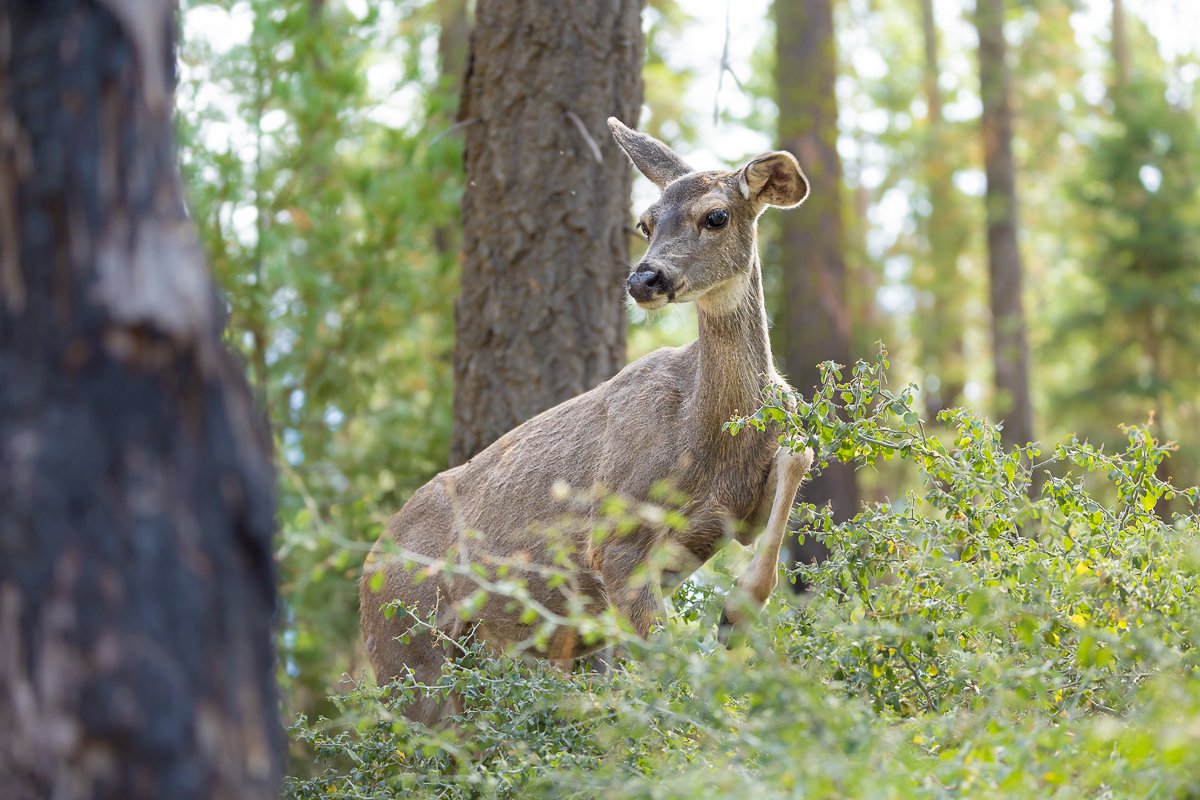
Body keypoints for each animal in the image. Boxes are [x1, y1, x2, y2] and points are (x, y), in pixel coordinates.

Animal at [360, 118, 816, 724]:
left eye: (716, 215)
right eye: (645, 222)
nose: (645, 279)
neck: (710, 437)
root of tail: (366, 575)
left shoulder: (742, 506)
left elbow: (798, 459)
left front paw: (733, 618)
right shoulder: (615, 539)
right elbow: (664, 664)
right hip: (407, 659)